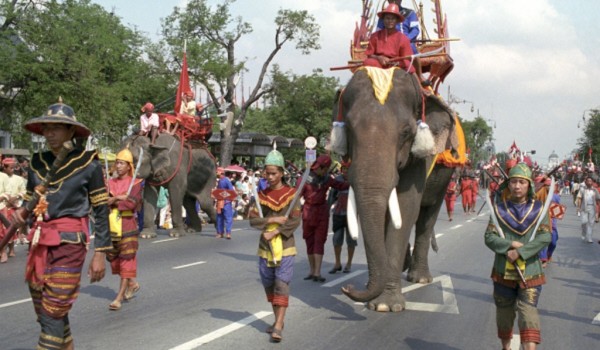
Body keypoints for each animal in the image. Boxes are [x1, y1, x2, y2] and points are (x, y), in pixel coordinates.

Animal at [330, 67, 462, 312]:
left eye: (406, 132)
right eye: (349, 129)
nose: (347, 288)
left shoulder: (419, 159)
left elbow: (406, 205)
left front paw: (385, 306)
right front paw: (377, 299)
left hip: (446, 177)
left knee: (427, 217)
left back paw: (419, 278)